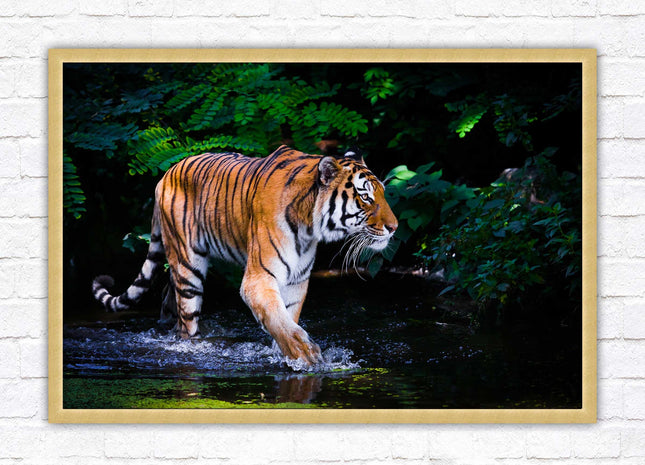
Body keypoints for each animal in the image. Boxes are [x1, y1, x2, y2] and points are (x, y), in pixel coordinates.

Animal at [92, 145, 398, 366]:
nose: (394, 227)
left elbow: (286, 318)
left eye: (383, 193)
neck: (309, 227)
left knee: (170, 304)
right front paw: (304, 353)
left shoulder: (297, 281)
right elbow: (278, 320)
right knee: (187, 320)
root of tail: (165, 174)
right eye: (366, 197)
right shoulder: (259, 278)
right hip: (188, 266)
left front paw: (285, 354)